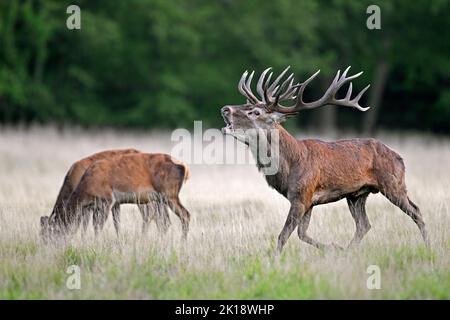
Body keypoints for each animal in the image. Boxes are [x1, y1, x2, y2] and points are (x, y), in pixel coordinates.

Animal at [41, 152, 191, 240]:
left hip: (168, 194)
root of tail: (185, 167)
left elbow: (97, 227)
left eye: (50, 233)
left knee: (184, 215)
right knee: (165, 220)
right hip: (160, 198)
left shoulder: (106, 200)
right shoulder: (93, 205)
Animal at [221, 66, 428, 256]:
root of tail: (400, 158)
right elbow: (302, 233)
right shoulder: (308, 201)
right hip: (356, 195)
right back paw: (348, 251)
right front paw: (333, 247)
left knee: (416, 211)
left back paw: (428, 246)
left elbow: (283, 235)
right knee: (364, 224)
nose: (225, 109)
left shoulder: (302, 195)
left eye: (255, 112)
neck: (289, 166)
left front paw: (275, 261)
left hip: (393, 184)